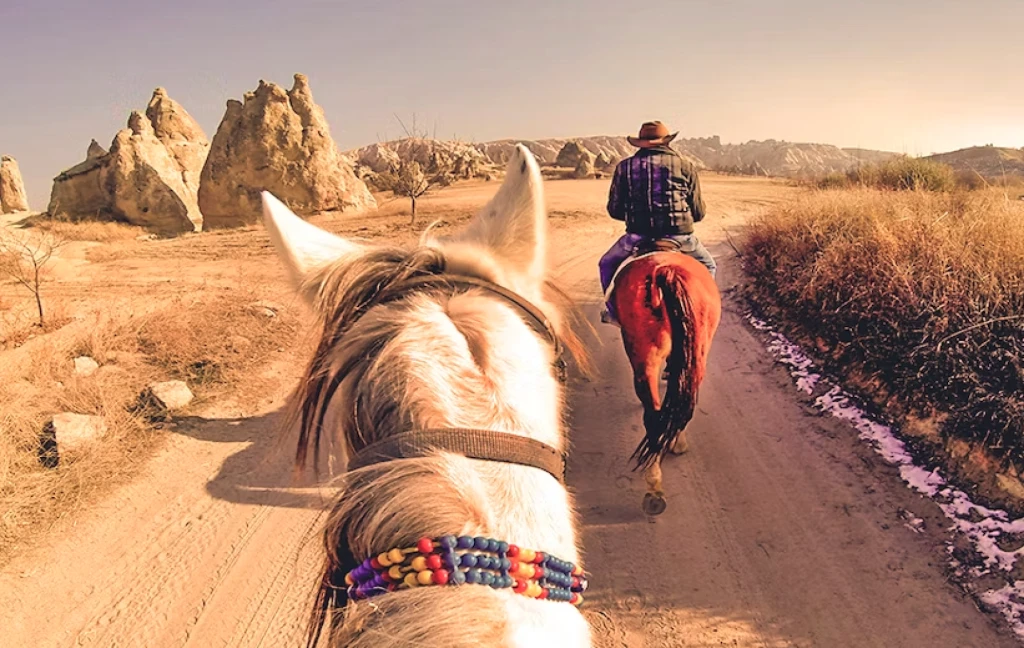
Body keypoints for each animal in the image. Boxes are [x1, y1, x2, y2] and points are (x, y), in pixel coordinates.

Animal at [607, 240, 721, 516]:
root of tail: (664, 272)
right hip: (693, 353)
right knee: (677, 403)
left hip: (647, 355)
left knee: (656, 410)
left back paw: (655, 487)